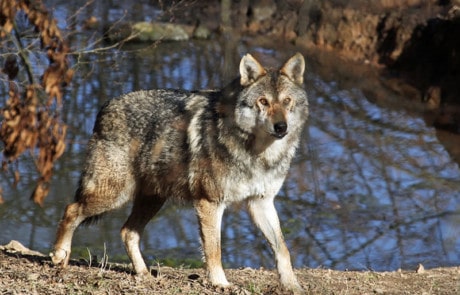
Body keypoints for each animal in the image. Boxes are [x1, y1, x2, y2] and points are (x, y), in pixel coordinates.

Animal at [49, 53, 310, 294]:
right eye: (263, 101)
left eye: (287, 101)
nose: (281, 127)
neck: (258, 154)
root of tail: (105, 107)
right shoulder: (210, 202)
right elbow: (214, 250)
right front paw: (220, 283)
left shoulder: (261, 202)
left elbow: (282, 249)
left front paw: (292, 285)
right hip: (113, 195)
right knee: (71, 210)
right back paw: (60, 255)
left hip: (152, 200)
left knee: (127, 231)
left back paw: (144, 274)